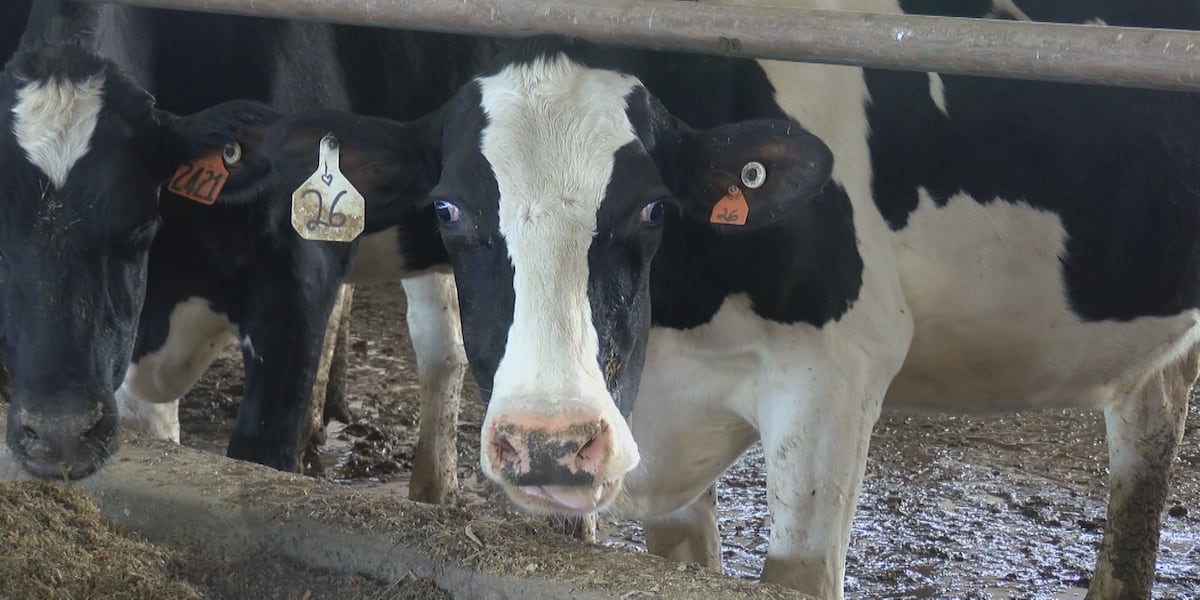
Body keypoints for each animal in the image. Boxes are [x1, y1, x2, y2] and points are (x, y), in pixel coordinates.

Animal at [251, 2, 1200, 597]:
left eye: (651, 208)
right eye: (448, 210)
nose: (550, 443)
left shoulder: (835, 376)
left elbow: (797, 577)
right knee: (1150, 424)